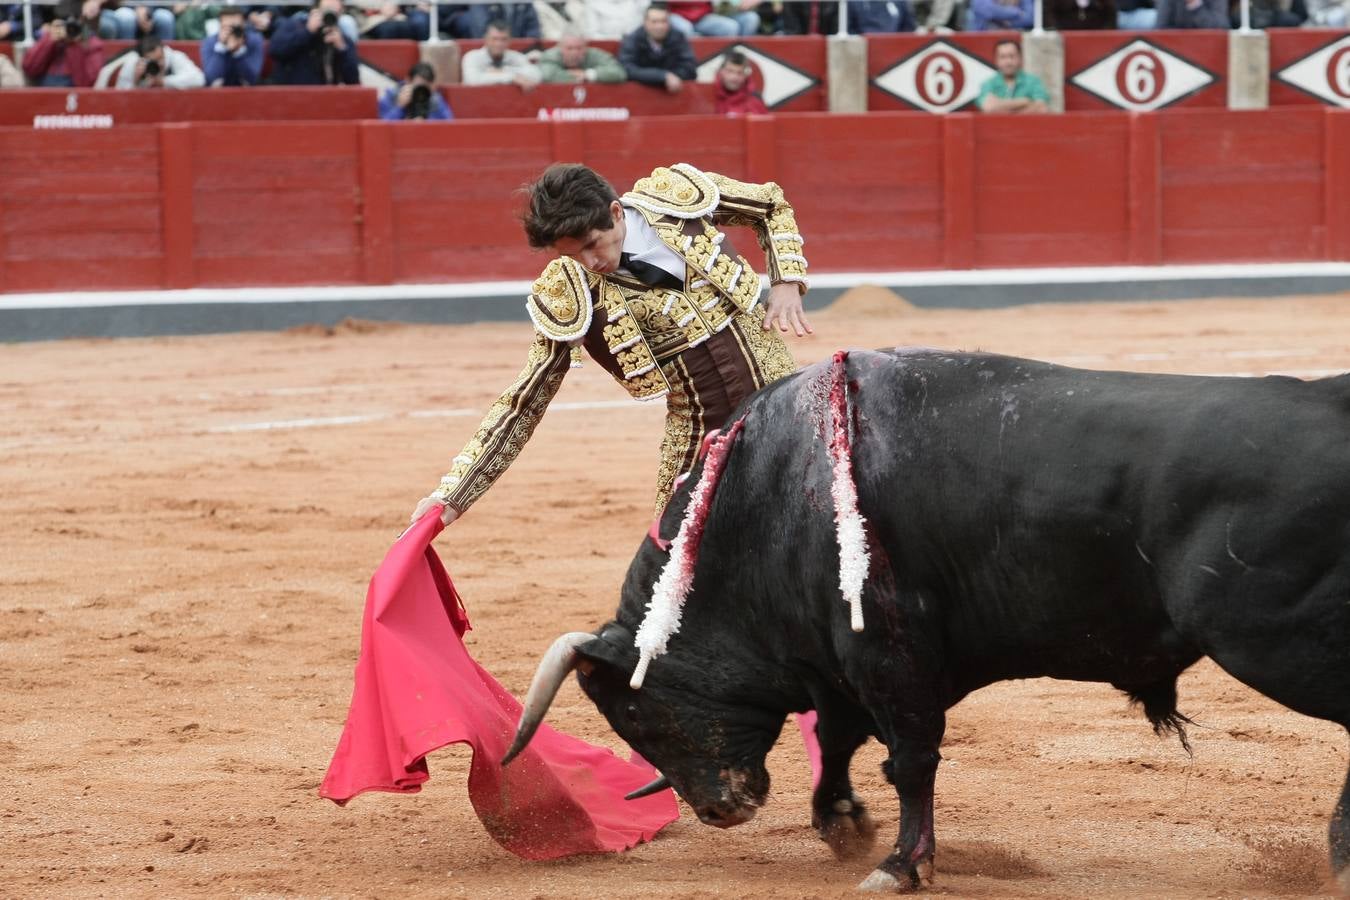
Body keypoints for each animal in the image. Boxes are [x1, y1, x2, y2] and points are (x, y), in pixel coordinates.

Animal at [504, 348, 1350, 890]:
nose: (719, 810)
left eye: (637, 714)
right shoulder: (839, 663)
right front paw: (845, 825)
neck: (765, 495)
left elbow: (910, 759)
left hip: (1270, 638)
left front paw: (900, 865)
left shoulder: (889, 657)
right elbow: (841, 741)